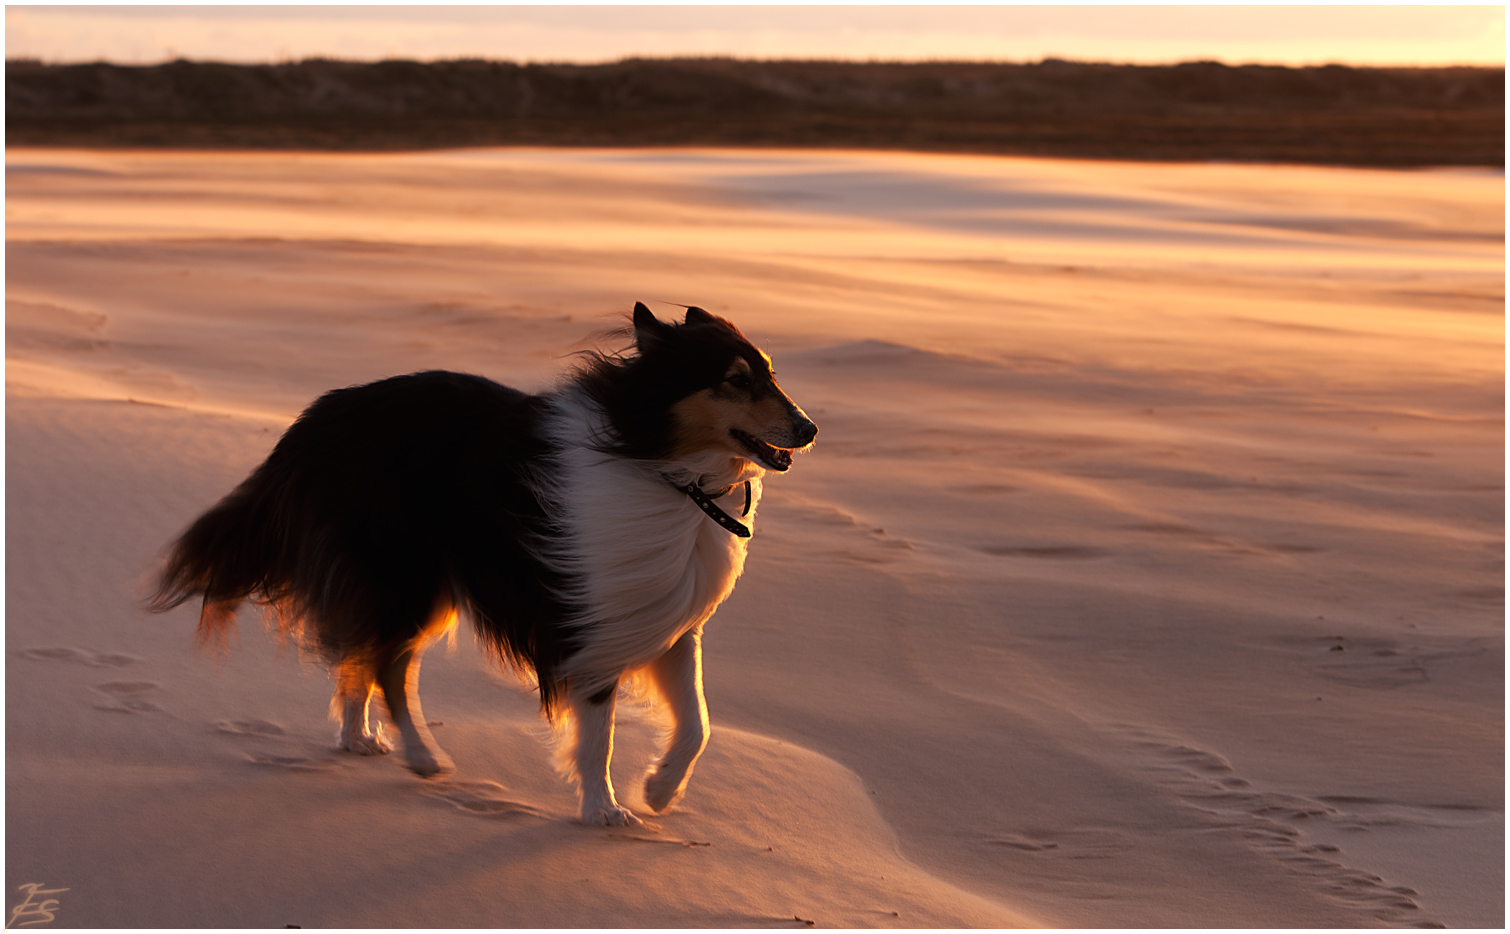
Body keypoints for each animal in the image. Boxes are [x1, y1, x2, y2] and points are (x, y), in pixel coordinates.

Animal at [144, 306, 815, 826]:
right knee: (387, 664)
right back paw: (421, 756)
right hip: (407, 576)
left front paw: (659, 789)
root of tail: (317, 420)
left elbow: (699, 723)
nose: (809, 429)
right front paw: (603, 810)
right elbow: (598, 732)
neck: (659, 465)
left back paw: (358, 737)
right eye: (735, 380)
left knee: (362, 651)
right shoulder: (588, 621)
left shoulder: (667, 618)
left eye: (771, 374)